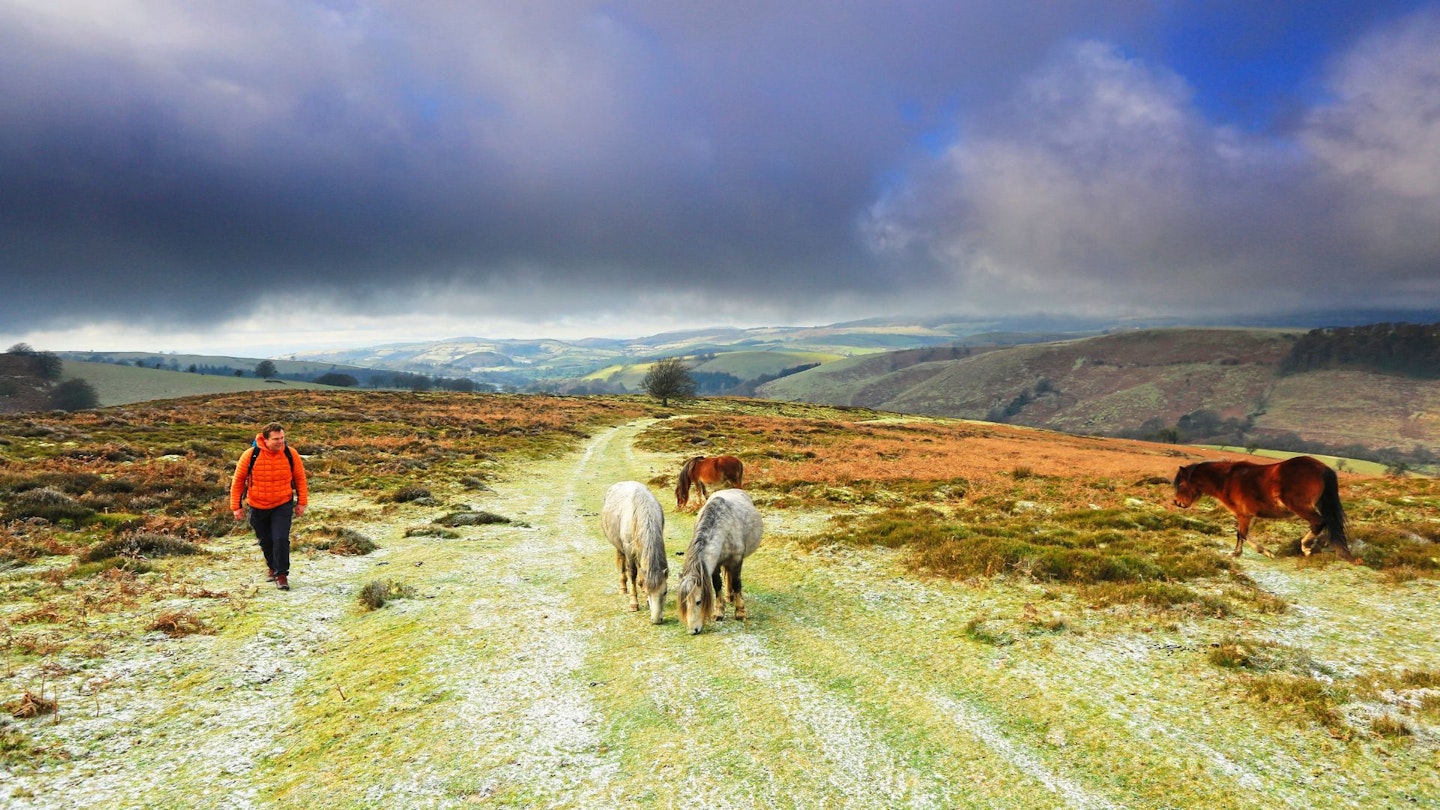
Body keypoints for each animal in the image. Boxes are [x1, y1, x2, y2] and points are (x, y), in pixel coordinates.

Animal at [596, 481, 668, 619]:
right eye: (650, 593)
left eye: (665, 592)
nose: (657, 619)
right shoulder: (629, 549)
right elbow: (632, 573)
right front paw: (634, 603)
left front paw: (643, 589)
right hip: (621, 548)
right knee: (623, 564)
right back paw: (623, 588)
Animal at [676, 484, 766, 631]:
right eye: (684, 603)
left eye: (698, 601)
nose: (693, 630)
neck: (723, 527)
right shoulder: (715, 565)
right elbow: (717, 585)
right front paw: (719, 612)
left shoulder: (736, 561)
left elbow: (737, 584)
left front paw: (740, 612)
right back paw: (729, 596)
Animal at [1175, 455, 1353, 562]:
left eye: (1181, 484)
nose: (1177, 502)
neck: (1227, 480)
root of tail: (1322, 468)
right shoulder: (1250, 516)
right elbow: (1240, 534)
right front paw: (1236, 553)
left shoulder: (1243, 515)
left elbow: (1243, 534)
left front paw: (1266, 552)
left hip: (1300, 507)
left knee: (1318, 522)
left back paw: (1306, 547)